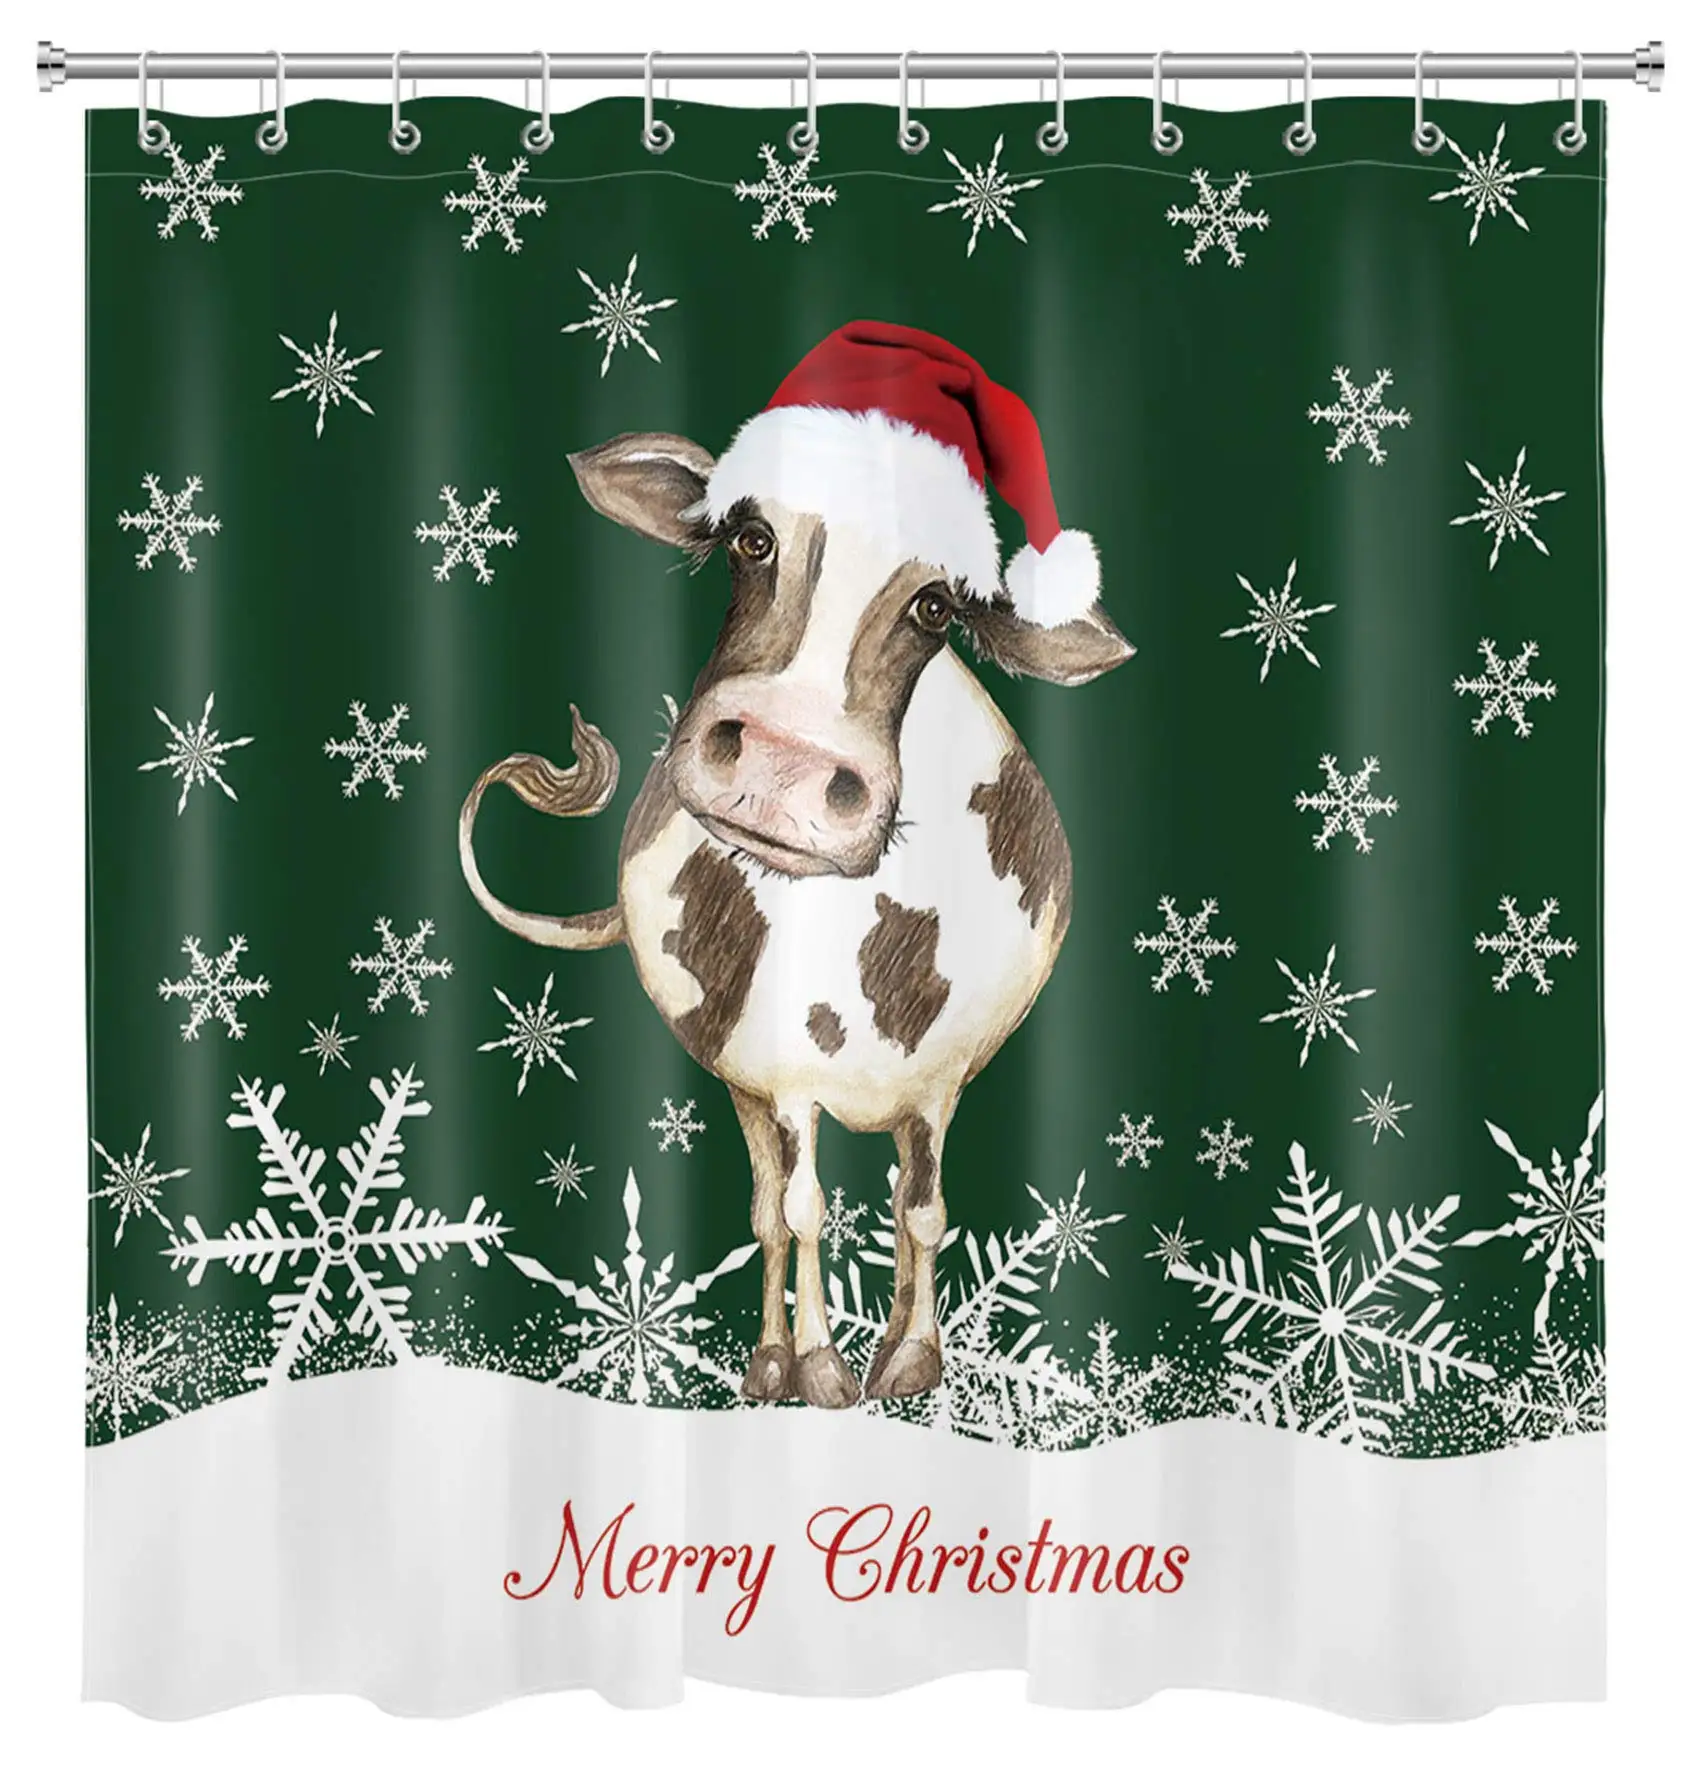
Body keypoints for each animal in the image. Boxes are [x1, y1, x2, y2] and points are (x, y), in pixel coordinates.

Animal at [460, 322, 1133, 1409]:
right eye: (749, 538)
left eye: (938, 606)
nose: (783, 761)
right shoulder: (782, 1076)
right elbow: (805, 1207)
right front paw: (817, 1362)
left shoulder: (941, 1079)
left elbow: (921, 1208)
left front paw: (912, 1355)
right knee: (770, 1204)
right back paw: (772, 1358)